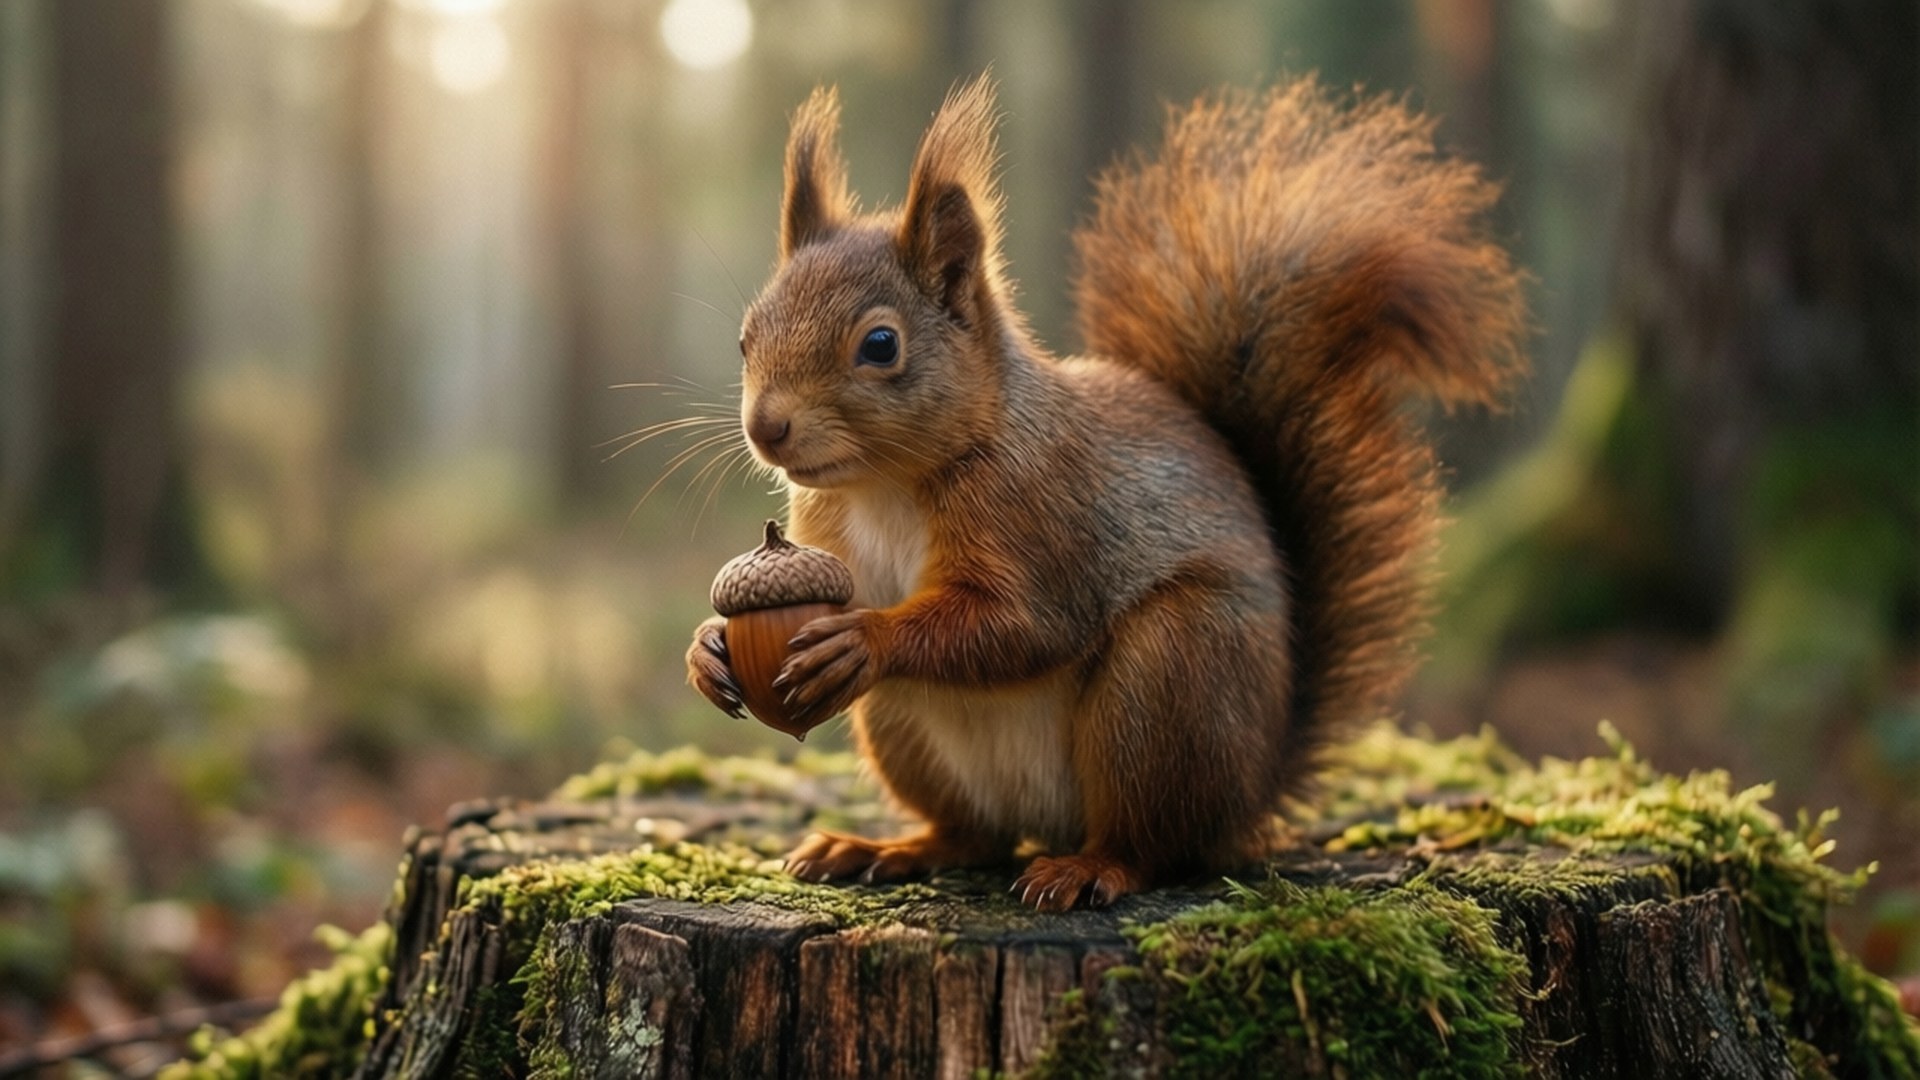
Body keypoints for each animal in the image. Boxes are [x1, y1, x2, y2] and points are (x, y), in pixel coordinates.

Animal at [686, 75, 1527, 911]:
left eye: (881, 345)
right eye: (744, 337)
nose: (767, 428)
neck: (884, 484)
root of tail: (1256, 791)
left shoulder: (1043, 516)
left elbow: (1020, 625)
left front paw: (866, 637)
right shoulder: (826, 533)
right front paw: (708, 648)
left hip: (1170, 684)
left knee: (1154, 843)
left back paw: (1092, 868)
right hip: (900, 726)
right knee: (974, 837)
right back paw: (885, 848)